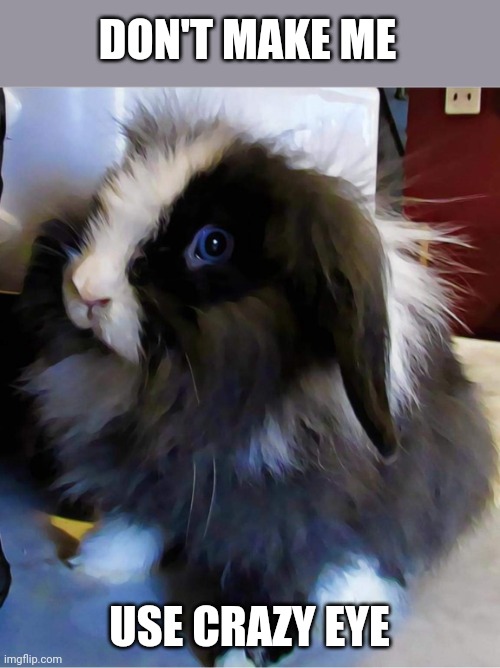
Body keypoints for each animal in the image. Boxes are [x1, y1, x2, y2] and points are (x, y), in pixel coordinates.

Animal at [18, 106, 496, 666]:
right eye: (105, 198)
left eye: (213, 244)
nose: (85, 289)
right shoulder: (147, 474)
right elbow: (138, 517)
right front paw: (96, 564)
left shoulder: (294, 516)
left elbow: (287, 569)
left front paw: (245, 653)